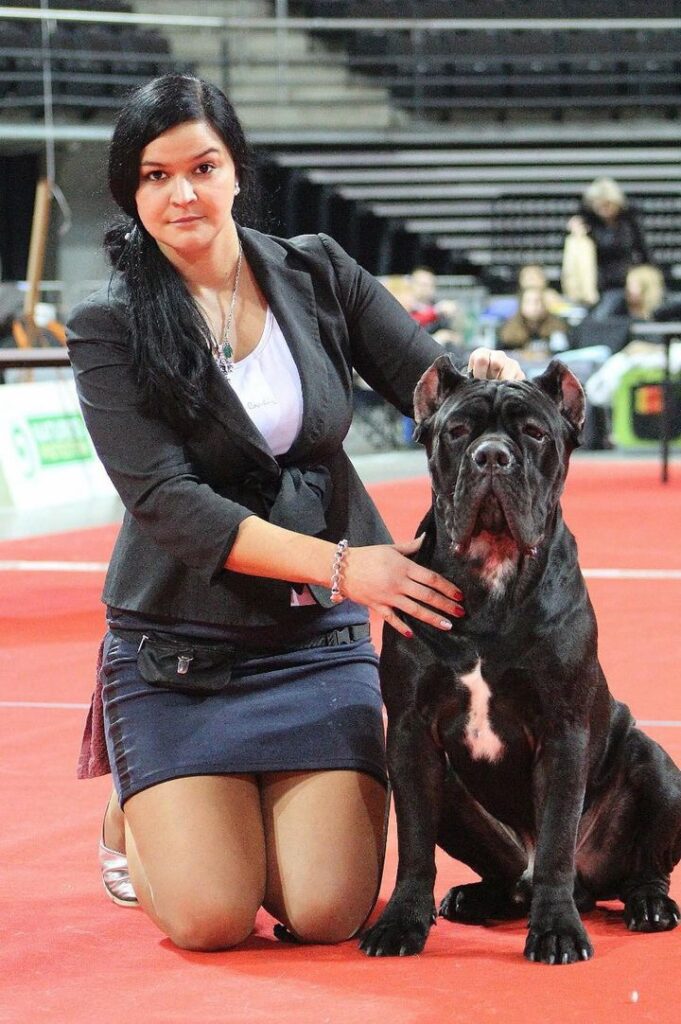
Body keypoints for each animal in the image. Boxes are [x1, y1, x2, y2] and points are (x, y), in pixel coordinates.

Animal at [361, 356, 681, 964]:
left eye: (534, 433)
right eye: (457, 431)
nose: (491, 455)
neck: (493, 575)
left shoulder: (562, 732)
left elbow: (556, 842)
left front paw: (556, 932)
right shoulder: (410, 735)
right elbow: (413, 845)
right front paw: (401, 923)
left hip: (659, 772)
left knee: (636, 867)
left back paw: (649, 905)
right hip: (453, 792)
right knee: (505, 878)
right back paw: (472, 898)